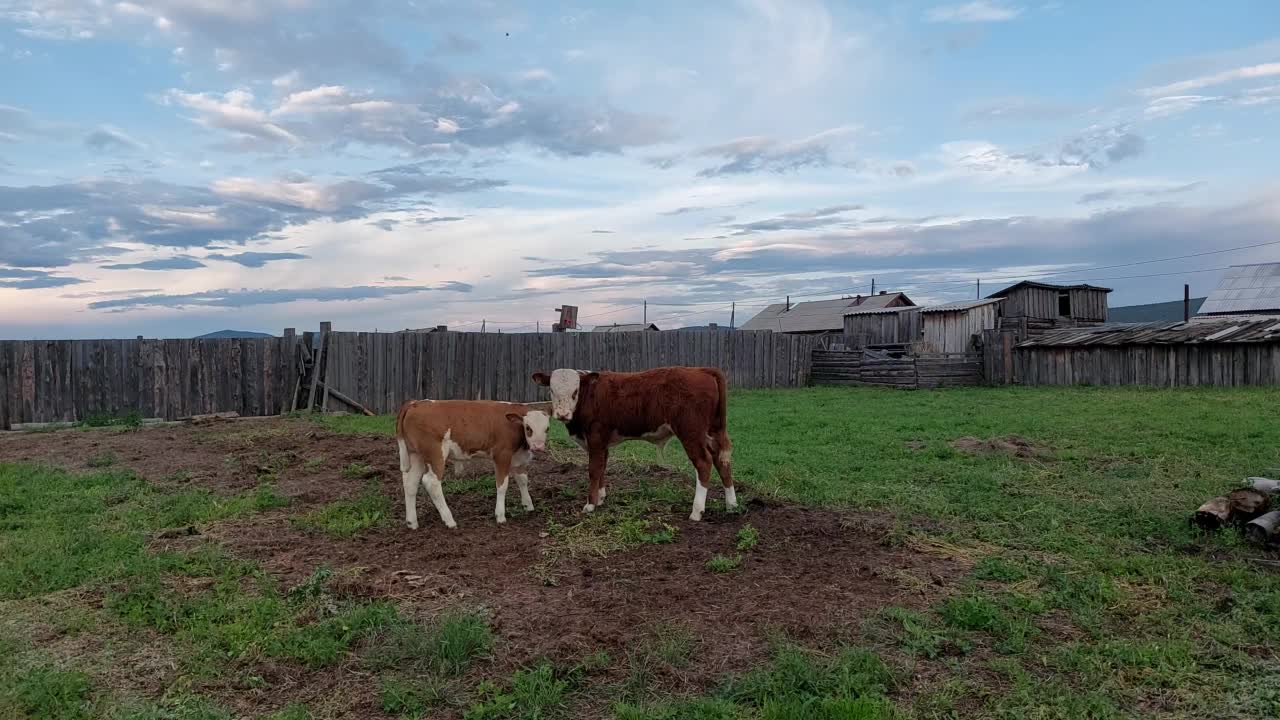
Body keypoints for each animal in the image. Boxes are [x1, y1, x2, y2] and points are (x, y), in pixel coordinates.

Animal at [391, 397, 547, 527]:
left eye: (547, 429)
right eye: (528, 428)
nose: (538, 446)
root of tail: (416, 403)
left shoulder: (517, 457)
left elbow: (523, 480)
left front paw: (528, 506)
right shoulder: (502, 455)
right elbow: (502, 485)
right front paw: (500, 516)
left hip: (415, 454)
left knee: (410, 483)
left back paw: (412, 522)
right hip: (435, 454)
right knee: (431, 482)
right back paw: (450, 520)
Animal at [527, 366, 732, 517]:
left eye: (575, 391)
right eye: (552, 390)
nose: (562, 414)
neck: (590, 396)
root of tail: (701, 370)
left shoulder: (595, 437)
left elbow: (593, 470)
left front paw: (590, 504)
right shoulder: (602, 443)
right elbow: (601, 467)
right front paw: (600, 498)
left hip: (691, 433)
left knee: (704, 463)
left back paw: (696, 511)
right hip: (714, 431)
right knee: (722, 460)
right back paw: (731, 504)